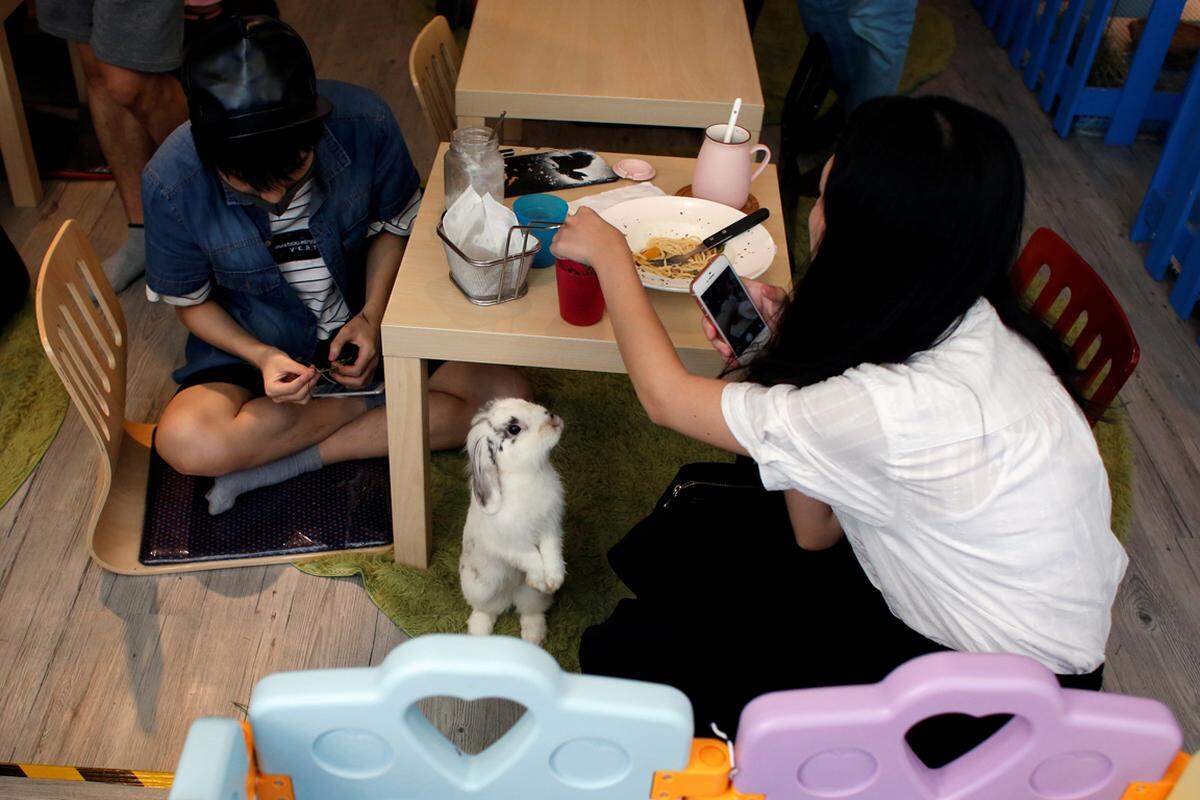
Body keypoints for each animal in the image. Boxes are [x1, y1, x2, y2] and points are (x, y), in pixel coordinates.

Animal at [460, 398, 568, 647]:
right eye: (514, 429)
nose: (553, 417)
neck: (526, 474)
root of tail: (509, 596)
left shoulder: (551, 526)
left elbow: (550, 551)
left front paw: (553, 580)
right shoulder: (508, 544)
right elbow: (530, 556)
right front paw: (540, 578)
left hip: (533, 598)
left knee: (530, 612)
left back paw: (534, 637)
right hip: (478, 589)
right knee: (485, 611)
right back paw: (478, 632)